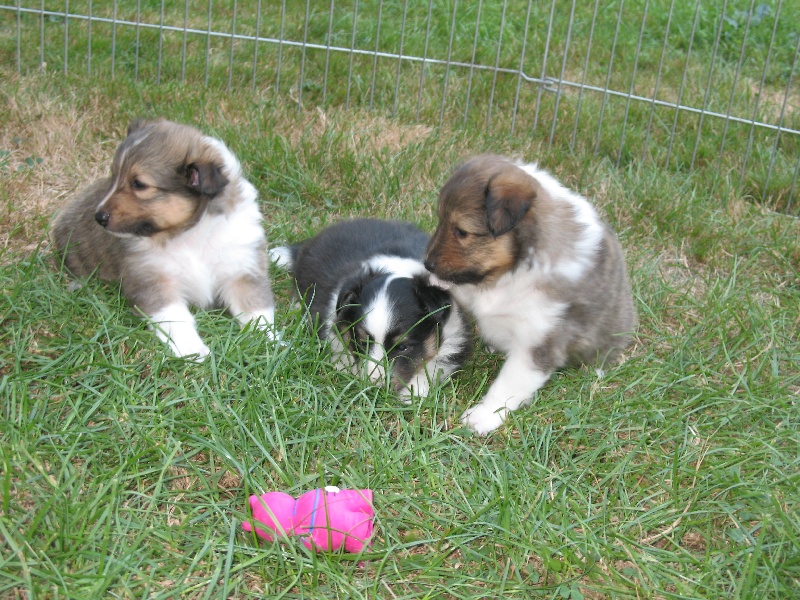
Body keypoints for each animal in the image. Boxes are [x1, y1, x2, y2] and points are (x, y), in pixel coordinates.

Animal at [50, 118, 276, 360]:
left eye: (139, 184)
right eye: (114, 176)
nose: (98, 217)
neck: (191, 233)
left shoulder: (242, 269)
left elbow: (257, 310)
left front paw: (270, 343)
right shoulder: (154, 278)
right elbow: (175, 316)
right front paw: (193, 350)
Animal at [422, 155, 636, 434]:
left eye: (461, 231)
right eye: (441, 220)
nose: (427, 263)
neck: (512, 272)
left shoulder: (539, 339)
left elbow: (508, 385)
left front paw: (483, 417)